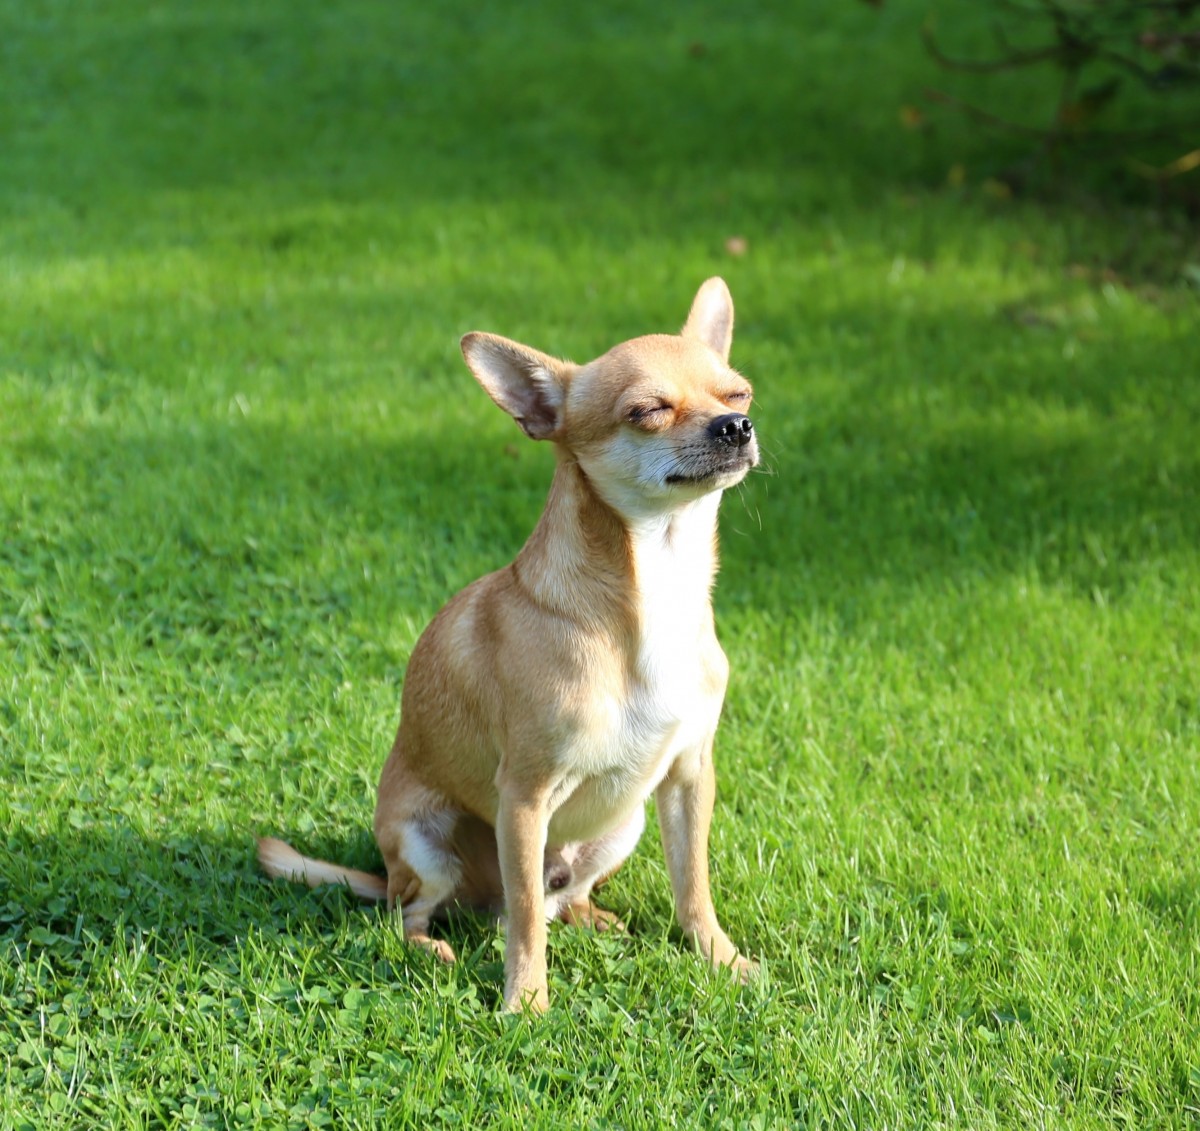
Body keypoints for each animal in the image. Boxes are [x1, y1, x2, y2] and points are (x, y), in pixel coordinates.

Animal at [260, 278, 758, 1013]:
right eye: (646, 411)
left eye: (738, 394)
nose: (734, 427)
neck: (655, 591)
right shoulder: (523, 797)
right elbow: (525, 918)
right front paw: (526, 1003)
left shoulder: (690, 778)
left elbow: (692, 885)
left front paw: (721, 959)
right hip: (425, 842)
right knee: (428, 911)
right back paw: (432, 947)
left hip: (623, 823)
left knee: (558, 898)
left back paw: (592, 916)